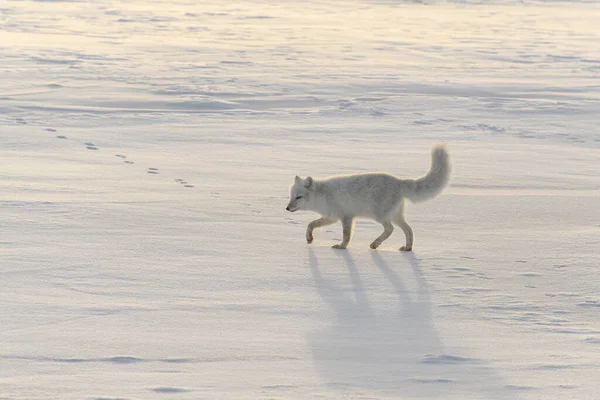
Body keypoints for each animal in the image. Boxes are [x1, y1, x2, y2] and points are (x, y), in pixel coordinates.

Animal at [286, 144, 450, 250]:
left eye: (299, 197)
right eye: (291, 196)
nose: (287, 208)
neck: (324, 195)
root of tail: (399, 182)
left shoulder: (346, 216)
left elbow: (346, 235)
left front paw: (342, 247)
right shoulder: (331, 217)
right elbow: (311, 225)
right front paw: (309, 238)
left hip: (380, 216)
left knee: (390, 229)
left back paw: (375, 244)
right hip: (396, 216)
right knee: (409, 230)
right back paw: (407, 248)